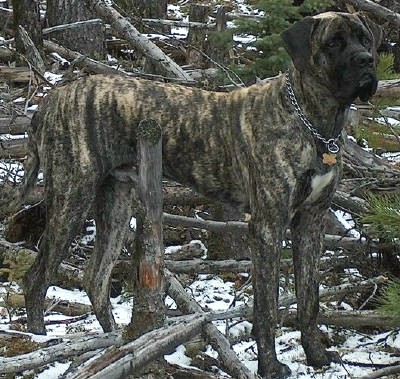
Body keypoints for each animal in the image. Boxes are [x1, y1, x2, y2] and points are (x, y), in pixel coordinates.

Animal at [18, 11, 382, 379]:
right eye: (333, 43)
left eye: (365, 39)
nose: (368, 60)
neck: (314, 122)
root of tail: (50, 100)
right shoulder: (268, 226)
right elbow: (266, 305)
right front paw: (269, 366)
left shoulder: (311, 222)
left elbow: (310, 298)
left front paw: (317, 357)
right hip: (71, 197)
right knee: (36, 277)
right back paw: (39, 340)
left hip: (116, 204)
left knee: (95, 278)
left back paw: (117, 343)